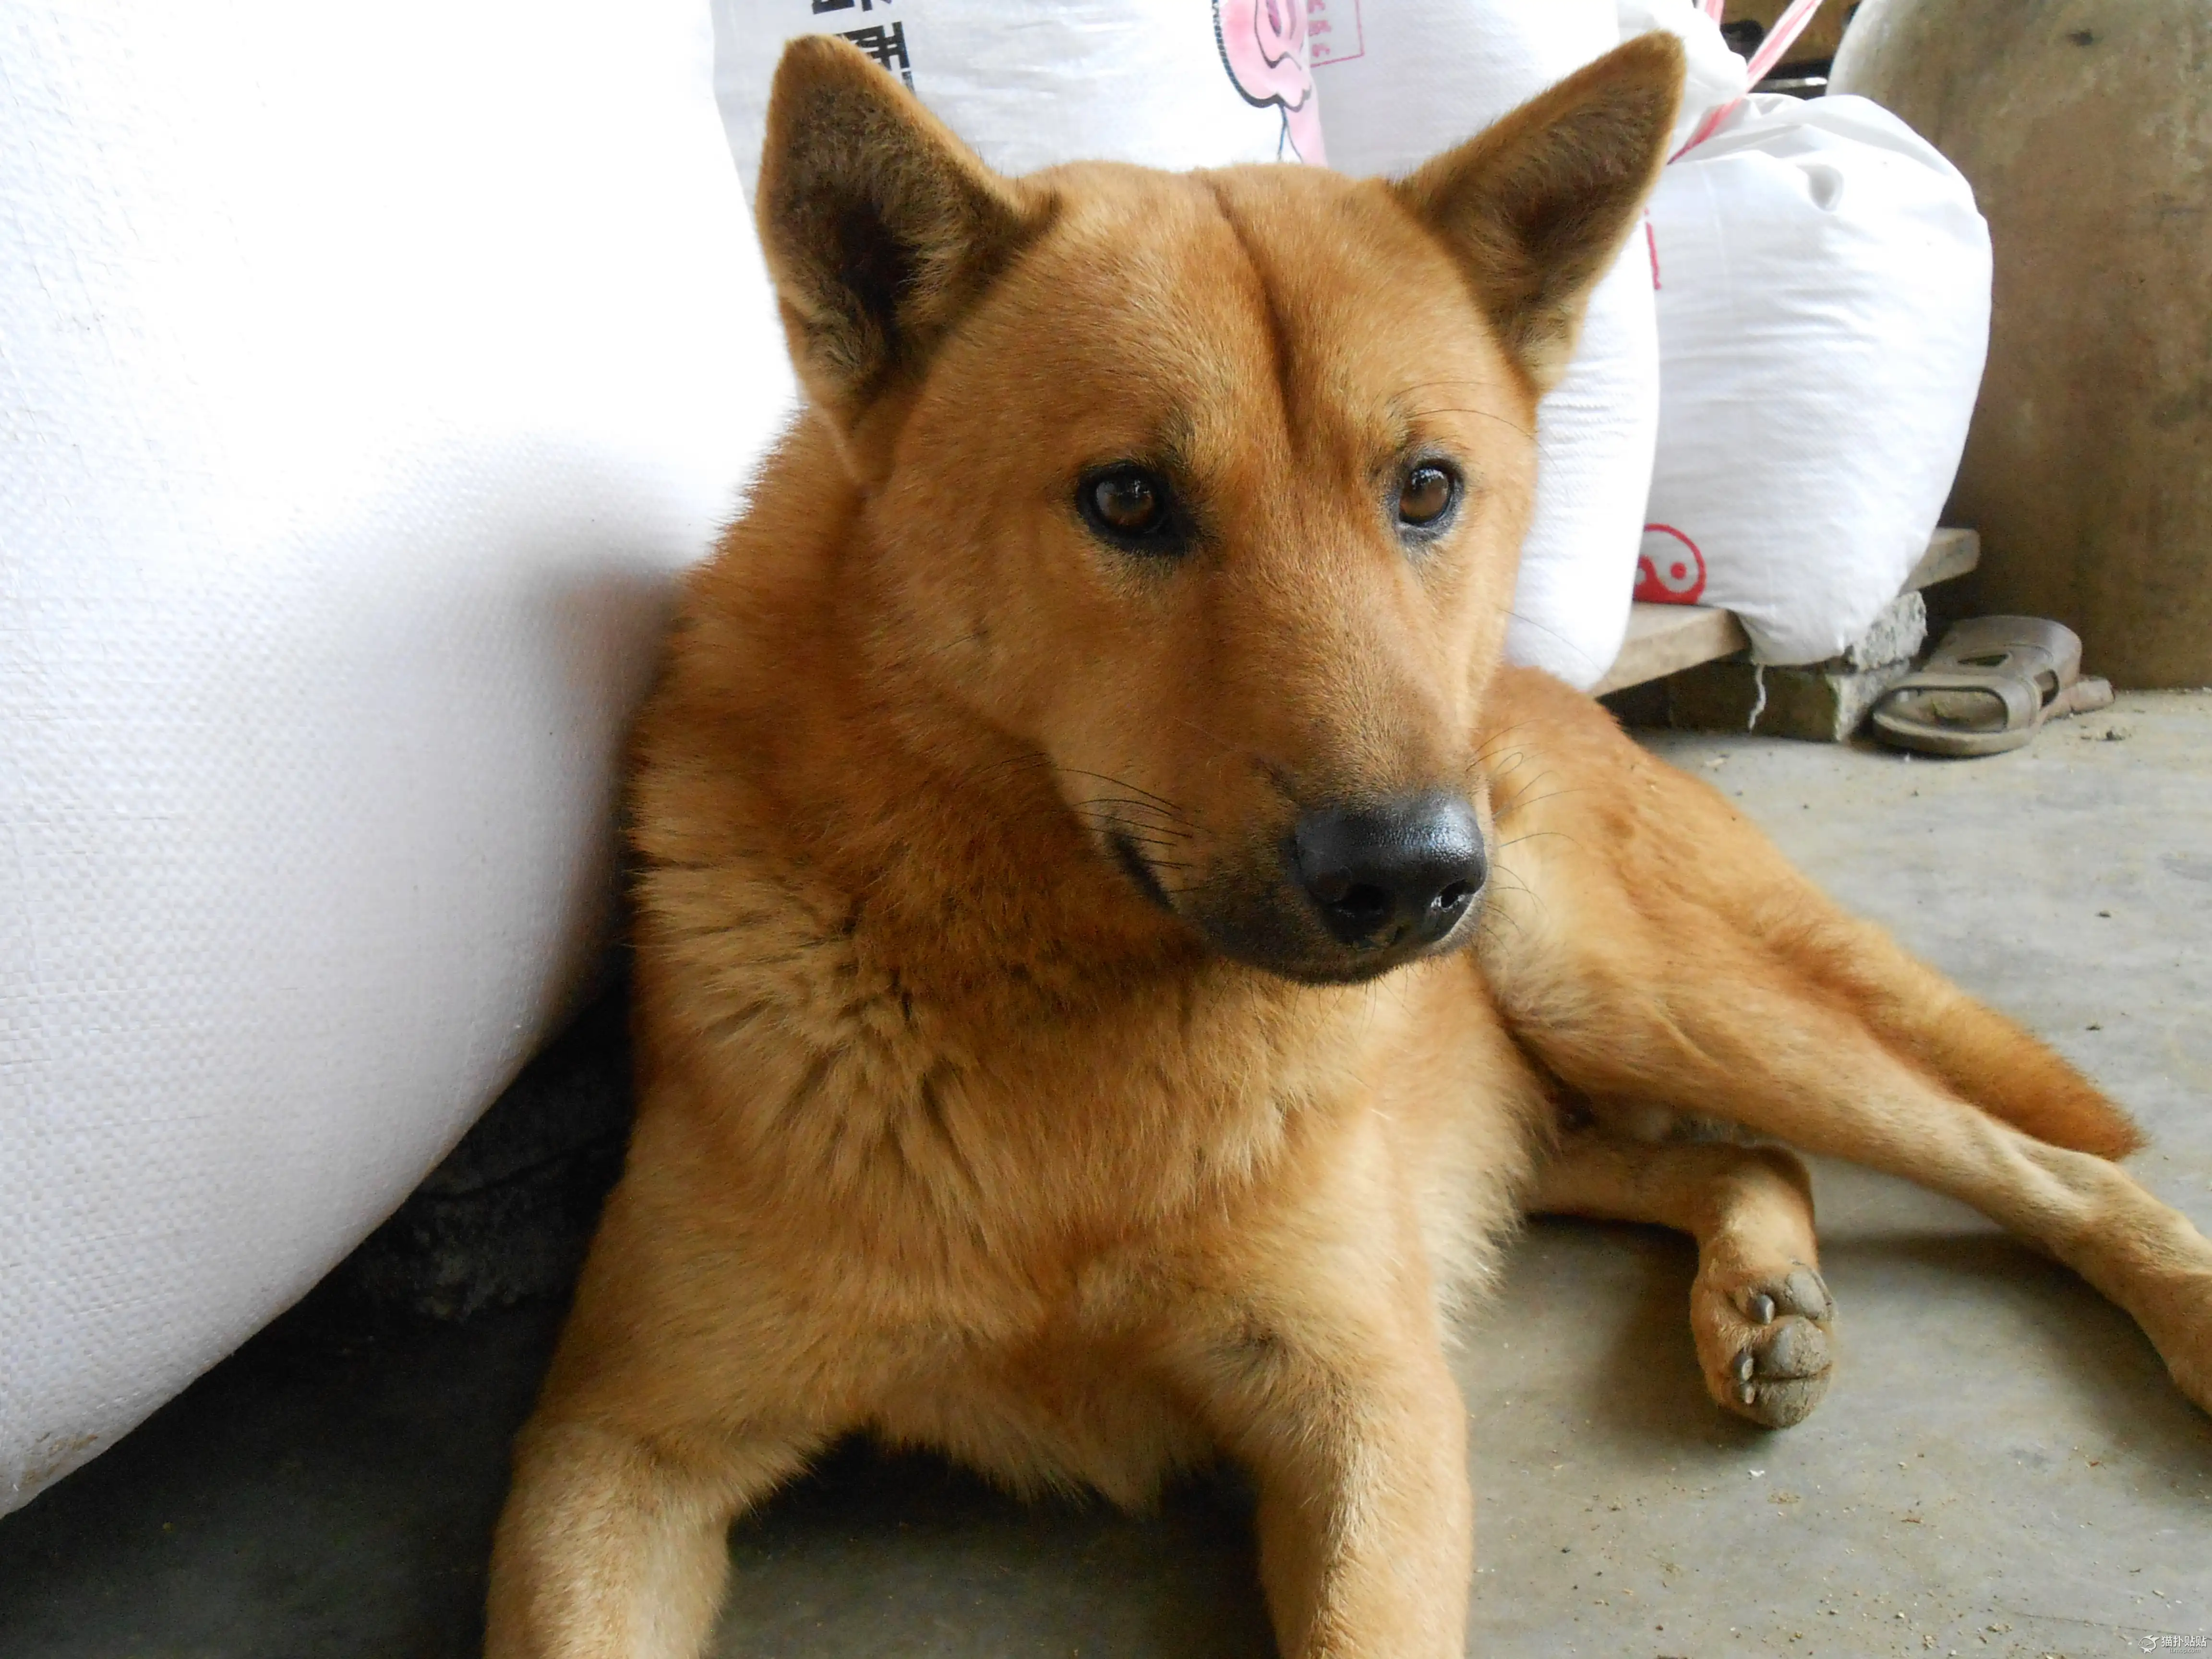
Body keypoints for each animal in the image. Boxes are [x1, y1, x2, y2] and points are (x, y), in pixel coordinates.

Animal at [489, 29, 2212, 1659]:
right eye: (1127, 499)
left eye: (1426, 487)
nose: (1415, 878)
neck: (1057, 994)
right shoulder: (614, 1448)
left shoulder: (1371, 1406)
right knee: (1731, 1155)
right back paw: (1756, 1292)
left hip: (1633, 996)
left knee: (2037, 1165)